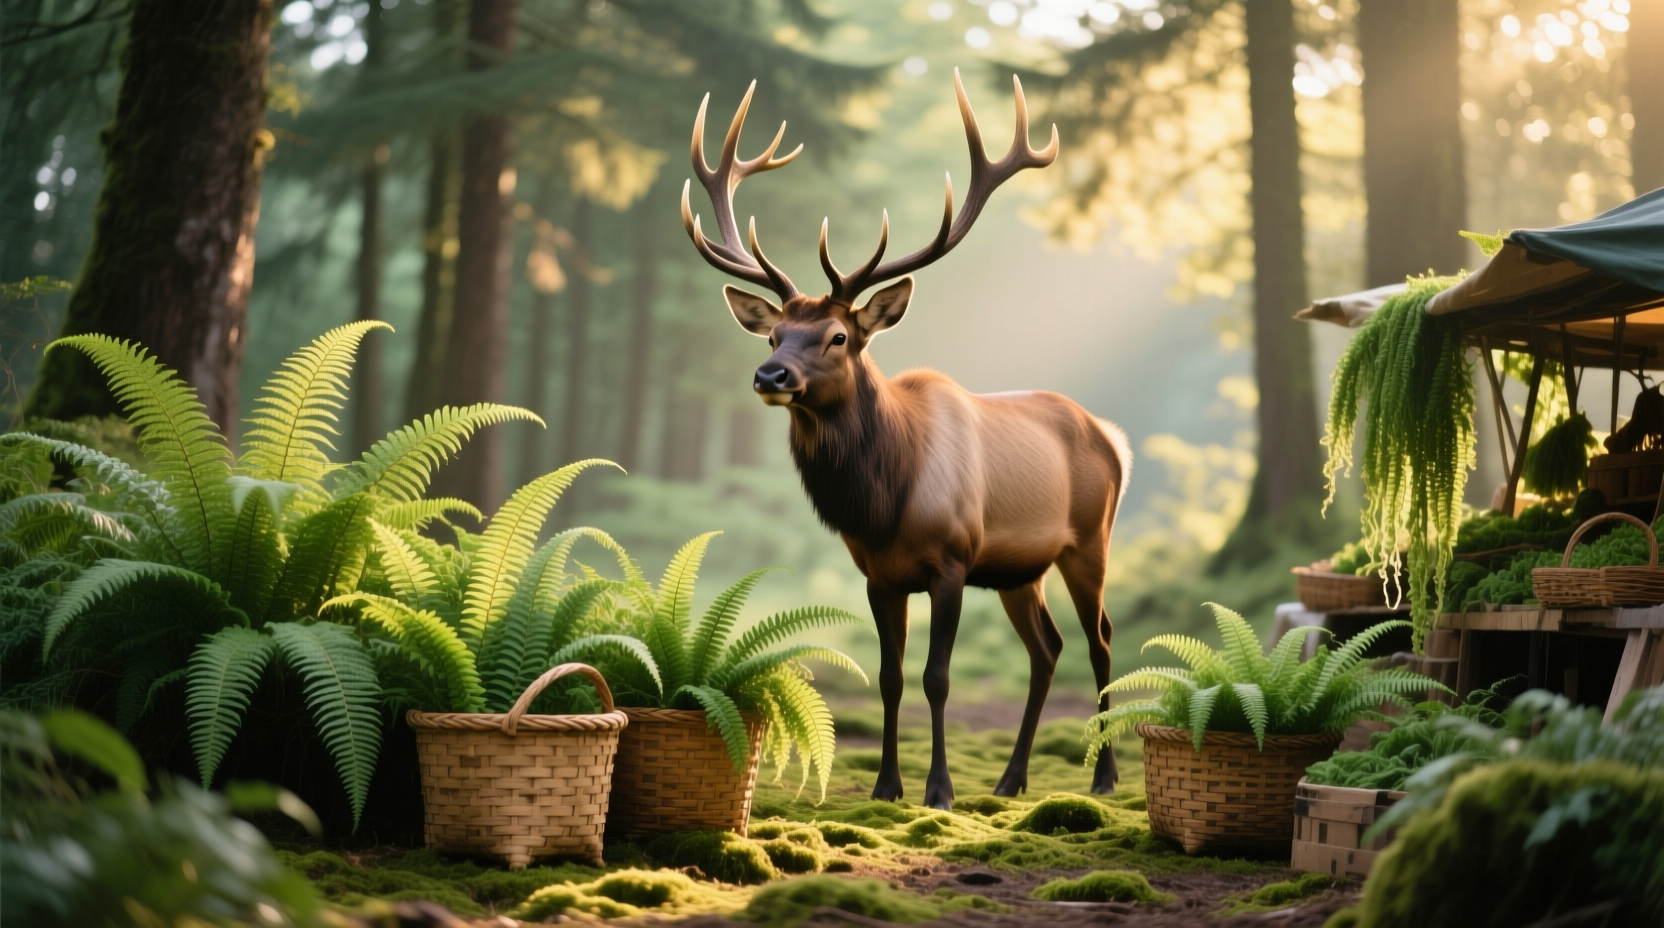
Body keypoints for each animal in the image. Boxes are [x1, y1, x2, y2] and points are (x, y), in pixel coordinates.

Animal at [679, 71, 1131, 809]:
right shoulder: (878, 574)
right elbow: (890, 677)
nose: (770, 375)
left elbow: (935, 678)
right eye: (775, 335)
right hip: (1019, 571)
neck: (885, 503)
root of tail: (1112, 436)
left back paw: (1103, 776)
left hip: (1088, 541)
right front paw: (887, 786)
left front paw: (938, 790)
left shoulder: (951, 560)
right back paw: (1011, 779)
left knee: (1101, 642)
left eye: (838, 337)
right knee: (1047, 649)